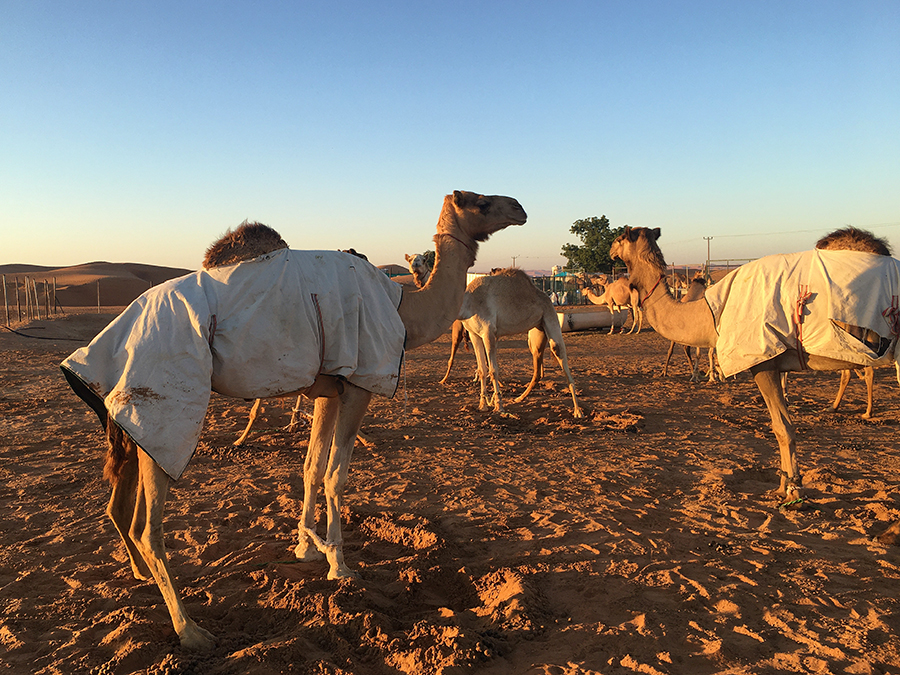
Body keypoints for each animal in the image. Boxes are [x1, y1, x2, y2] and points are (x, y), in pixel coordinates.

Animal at [61, 190, 528, 648]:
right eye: (481, 202)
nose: (520, 208)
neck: (401, 308)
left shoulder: (329, 388)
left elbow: (311, 467)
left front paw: (307, 547)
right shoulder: (358, 384)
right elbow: (336, 475)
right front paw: (340, 565)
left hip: (130, 421)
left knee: (120, 504)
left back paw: (142, 577)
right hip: (164, 405)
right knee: (147, 526)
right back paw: (191, 631)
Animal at [438, 270, 584, 418]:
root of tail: (546, 298)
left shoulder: (488, 332)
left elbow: (493, 370)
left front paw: (499, 407)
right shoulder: (474, 334)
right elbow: (482, 369)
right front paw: (483, 405)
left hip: (550, 318)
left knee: (558, 352)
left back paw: (578, 411)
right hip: (536, 333)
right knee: (537, 368)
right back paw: (519, 398)